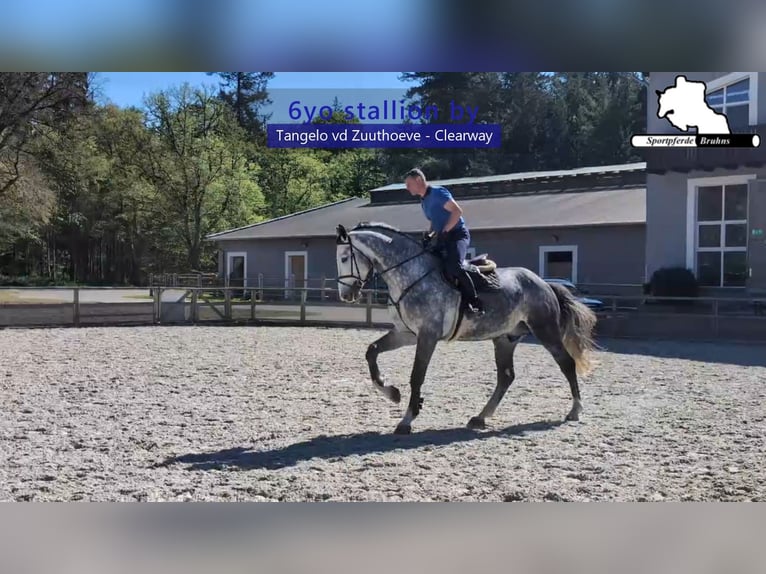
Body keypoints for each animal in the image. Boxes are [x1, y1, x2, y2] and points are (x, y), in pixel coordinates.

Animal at [335, 221, 599, 435]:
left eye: (345, 258)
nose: (346, 295)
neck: (411, 274)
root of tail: (543, 283)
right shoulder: (406, 333)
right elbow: (372, 351)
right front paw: (391, 392)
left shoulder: (427, 336)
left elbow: (416, 376)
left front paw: (407, 419)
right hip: (505, 339)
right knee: (506, 377)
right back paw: (480, 418)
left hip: (546, 331)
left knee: (567, 364)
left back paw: (575, 410)